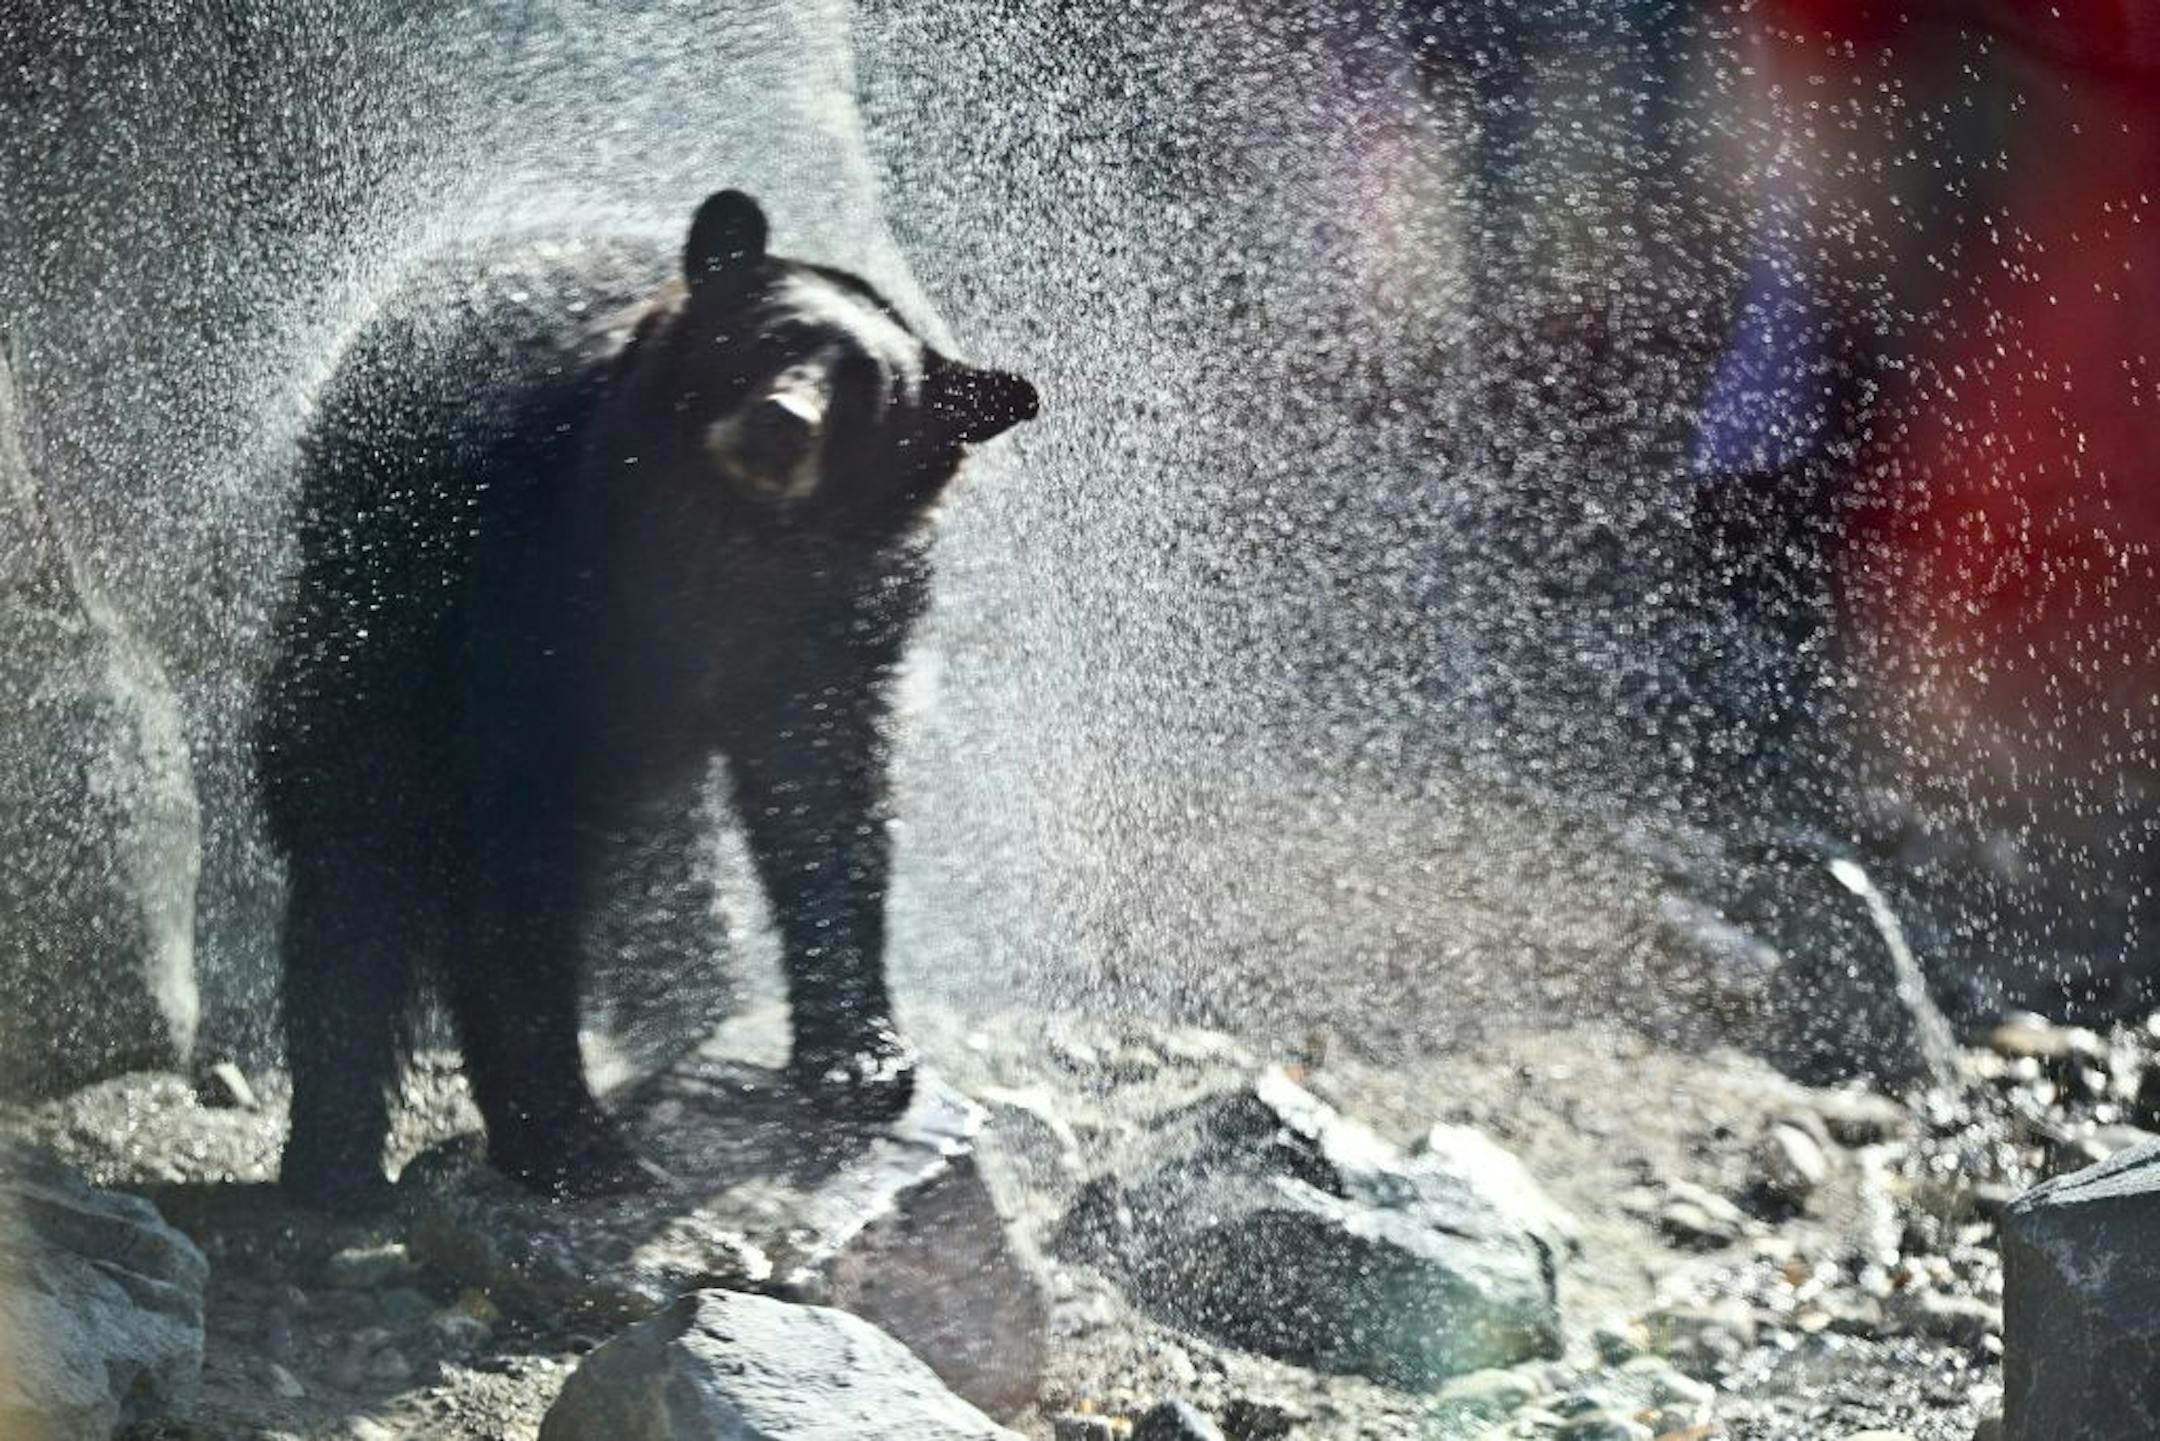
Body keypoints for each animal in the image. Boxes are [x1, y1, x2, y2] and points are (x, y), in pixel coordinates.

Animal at [255, 191, 1037, 1213]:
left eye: (868, 390)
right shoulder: (517, 599)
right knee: (356, 865)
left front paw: (861, 1061)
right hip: (363, 619)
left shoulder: (834, 625)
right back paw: (335, 1164)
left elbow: (823, 803)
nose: (782, 422)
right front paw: (572, 1139)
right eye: (770, 339)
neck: (718, 551)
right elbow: (511, 867)